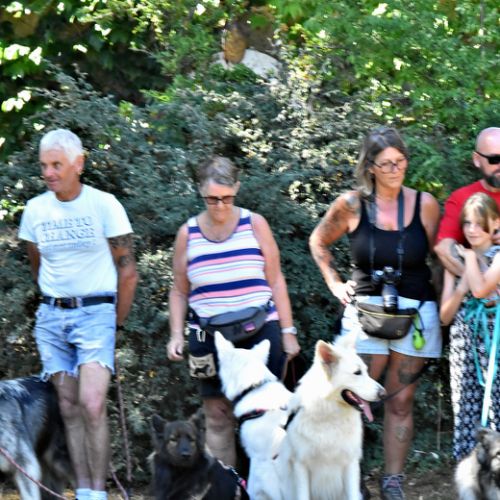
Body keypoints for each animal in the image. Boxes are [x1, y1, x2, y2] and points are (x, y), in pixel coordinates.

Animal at [277, 333, 386, 500]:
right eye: (357, 373)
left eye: (366, 371)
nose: (384, 393)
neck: (329, 415)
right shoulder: (300, 464)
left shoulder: (351, 463)